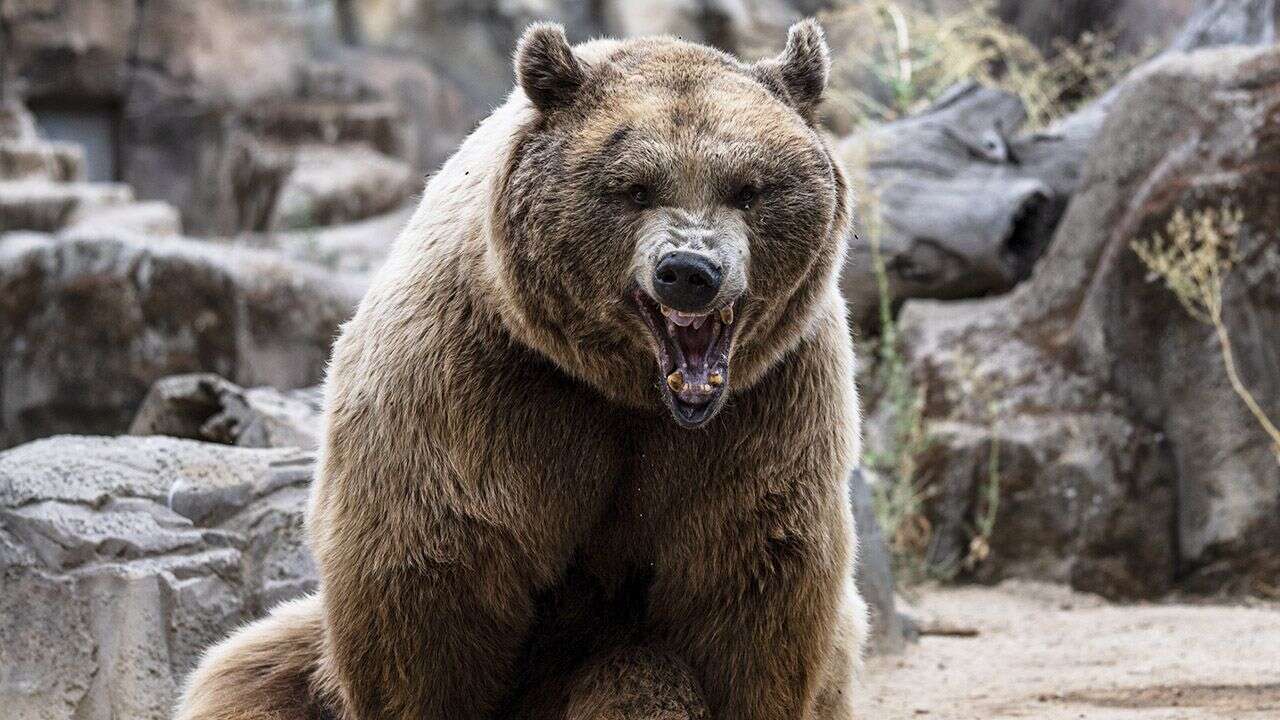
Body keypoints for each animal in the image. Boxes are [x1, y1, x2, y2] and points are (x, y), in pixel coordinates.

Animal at [175, 16, 865, 717]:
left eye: (748, 188)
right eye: (634, 188)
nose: (690, 271)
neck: (626, 389)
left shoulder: (765, 410)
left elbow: (746, 587)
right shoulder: (479, 385)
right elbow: (436, 585)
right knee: (244, 673)